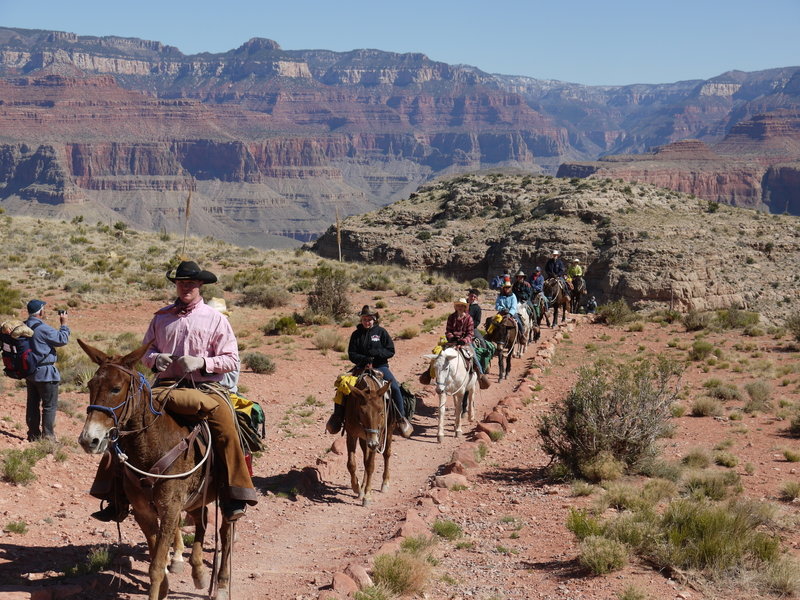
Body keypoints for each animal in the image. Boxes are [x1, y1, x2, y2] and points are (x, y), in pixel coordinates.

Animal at [77, 342, 231, 600]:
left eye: (116, 388)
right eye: (90, 385)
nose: (89, 440)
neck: (152, 448)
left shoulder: (169, 508)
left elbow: (157, 565)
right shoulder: (143, 511)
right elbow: (154, 558)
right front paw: (167, 586)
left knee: (226, 532)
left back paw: (220, 583)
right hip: (197, 495)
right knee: (202, 520)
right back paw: (198, 572)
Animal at [344, 370, 394, 506]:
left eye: (381, 412)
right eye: (362, 412)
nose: (373, 443)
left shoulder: (376, 438)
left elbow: (371, 465)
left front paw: (367, 496)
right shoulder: (352, 435)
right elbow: (351, 464)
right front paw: (356, 487)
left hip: (388, 431)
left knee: (386, 454)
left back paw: (385, 483)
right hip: (364, 440)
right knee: (365, 460)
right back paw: (361, 488)